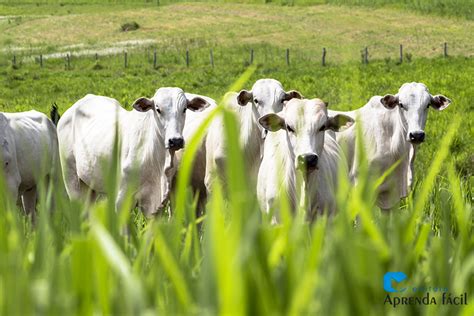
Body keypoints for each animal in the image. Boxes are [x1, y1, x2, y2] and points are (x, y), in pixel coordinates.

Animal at [56, 89, 208, 217]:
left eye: (184, 109)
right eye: (158, 109)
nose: (175, 141)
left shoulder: (155, 207)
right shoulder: (121, 202)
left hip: (90, 187)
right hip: (71, 180)